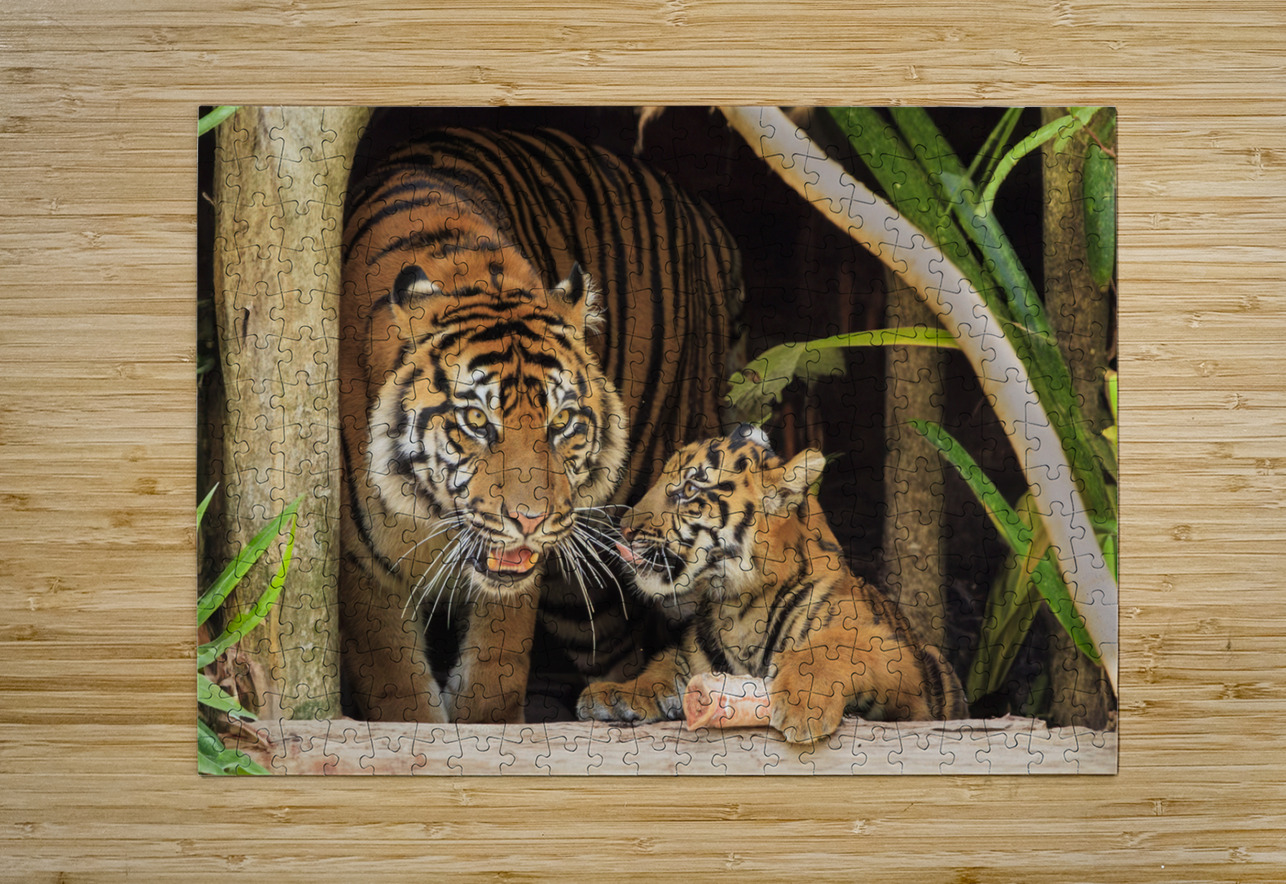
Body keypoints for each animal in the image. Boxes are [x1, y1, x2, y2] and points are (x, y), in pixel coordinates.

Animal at [339, 128, 743, 724]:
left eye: (563, 422)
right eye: (477, 420)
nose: (530, 520)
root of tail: (702, 213)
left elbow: (493, 678)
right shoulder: (363, 573)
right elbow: (400, 697)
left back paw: (644, 695)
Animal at [576, 425, 968, 744]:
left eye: (688, 489)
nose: (624, 529)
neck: (738, 605)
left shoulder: (892, 654)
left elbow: (828, 650)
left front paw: (802, 707)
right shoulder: (694, 656)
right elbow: (662, 667)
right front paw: (614, 693)